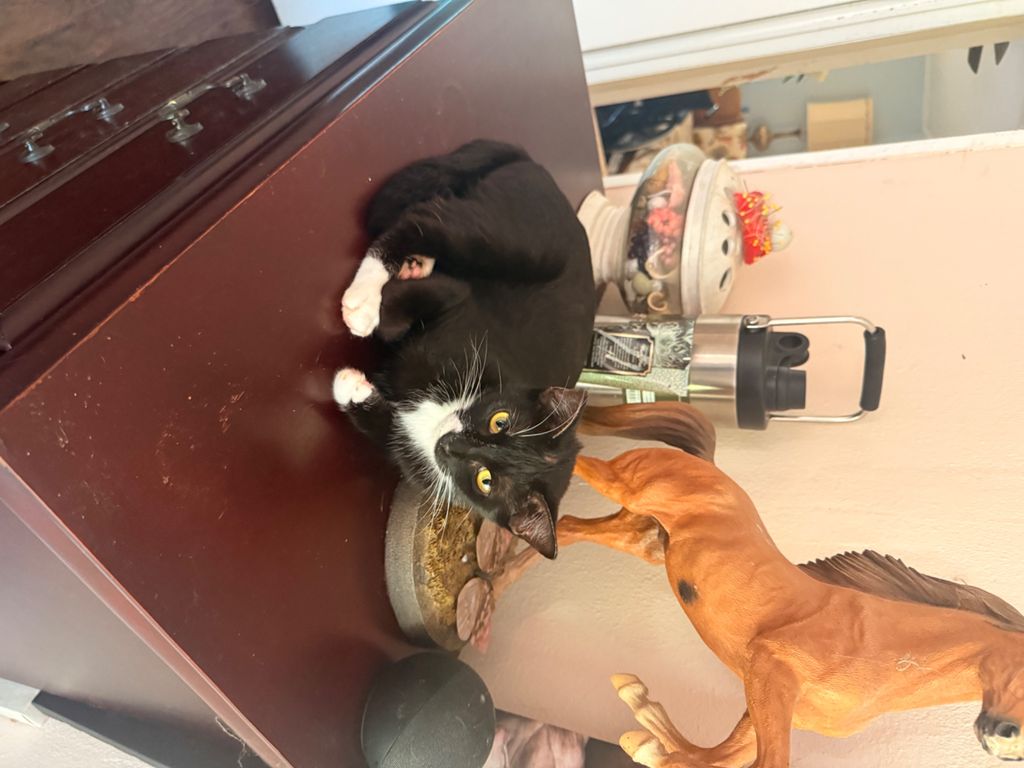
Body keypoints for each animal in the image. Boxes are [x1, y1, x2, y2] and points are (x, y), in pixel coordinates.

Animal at [332, 139, 596, 558]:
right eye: (500, 421)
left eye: (485, 480)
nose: (450, 445)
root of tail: (531, 162)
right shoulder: (459, 302)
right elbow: (402, 313)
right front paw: (374, 310)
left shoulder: (414, 462)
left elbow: (387, 433)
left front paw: (350, 385)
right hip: (506, 237)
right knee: (421, 222)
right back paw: (370, 294)